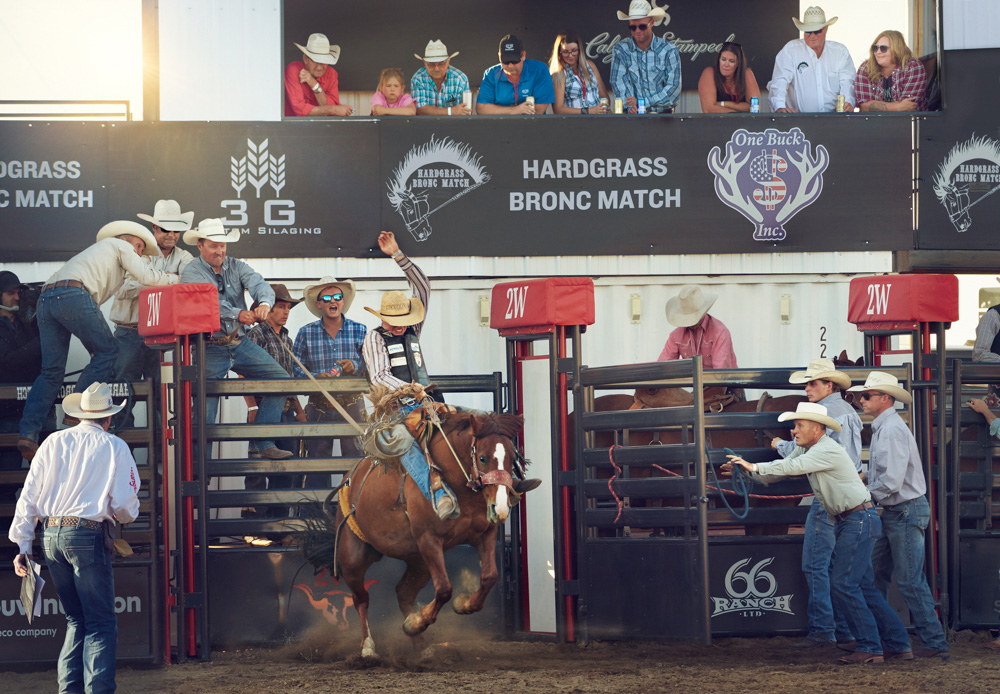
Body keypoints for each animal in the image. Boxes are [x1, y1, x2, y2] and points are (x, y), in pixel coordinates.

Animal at [302, 410, 524, 660]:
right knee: (361, 599)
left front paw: (461, 605)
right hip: (353, 557)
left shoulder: (485, 533)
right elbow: (444, 589)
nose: (501, 508)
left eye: (512, 458)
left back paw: (420, 644)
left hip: (419, 562)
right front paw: (418, 621)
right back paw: (368, 648)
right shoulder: (429, 540)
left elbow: (490, 577)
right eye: (483, 458)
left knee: (403, 593)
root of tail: (349, 478)